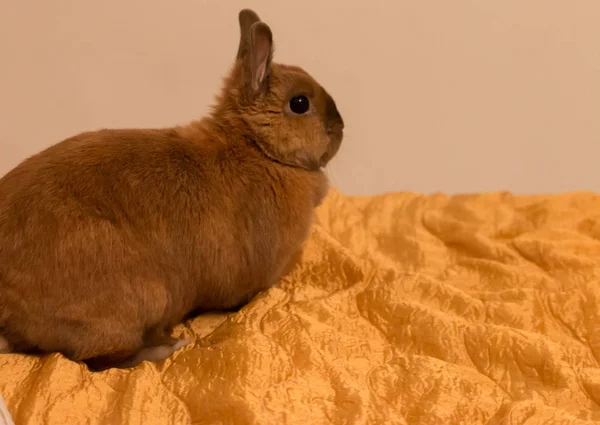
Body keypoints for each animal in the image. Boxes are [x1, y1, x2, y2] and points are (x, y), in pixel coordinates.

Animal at [0, 8, 344, 370]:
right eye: (300, 103)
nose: (340, 128)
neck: (256, 147)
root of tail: (8, 311)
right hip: (137, 302)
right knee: (101, 360)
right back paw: (165, 348)